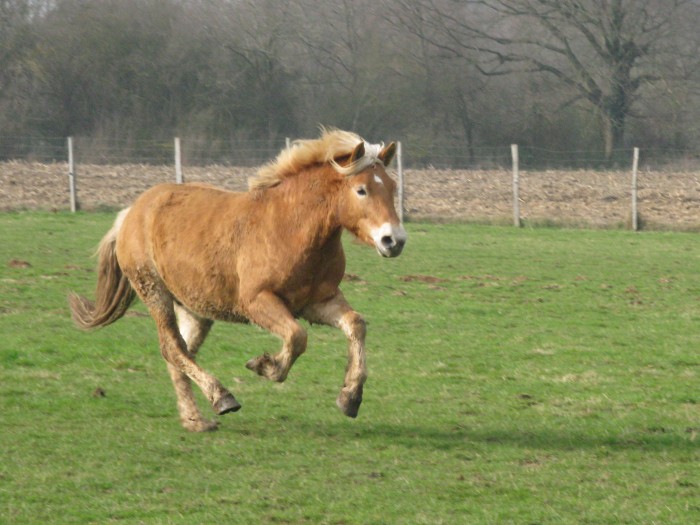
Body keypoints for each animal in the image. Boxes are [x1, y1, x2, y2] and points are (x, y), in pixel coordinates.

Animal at [68, 127, 408, 430]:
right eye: (361, 189)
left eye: (392, 188)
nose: (394, 240)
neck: (291, 227)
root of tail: (130, 212)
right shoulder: (258, 302)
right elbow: (297, 336)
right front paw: (266, 366)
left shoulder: (317, 301)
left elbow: (355, 325)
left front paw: (350, 397)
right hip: (155, 293)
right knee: (173, 349)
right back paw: (222, 398)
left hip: (195, 309)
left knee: (180, 354)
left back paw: (195, 420)